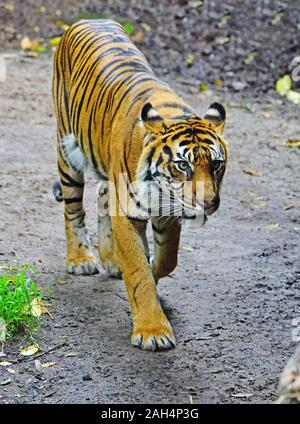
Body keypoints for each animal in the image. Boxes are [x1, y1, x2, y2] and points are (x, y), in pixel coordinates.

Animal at [52, 19, 229, 352]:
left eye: (216, 164)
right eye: (183, 166)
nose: (209, 203)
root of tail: (87, 20)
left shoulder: (167, 210)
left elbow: (166, 259)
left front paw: (151, 275)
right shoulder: (128, 212)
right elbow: (138, 271)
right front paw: (152, 329)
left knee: (102, 193)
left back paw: (110, 259)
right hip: (68, 153)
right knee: (72, 209)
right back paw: (80, 259)